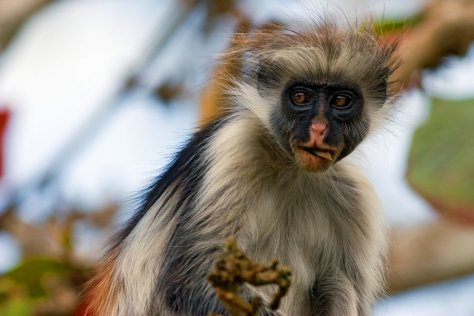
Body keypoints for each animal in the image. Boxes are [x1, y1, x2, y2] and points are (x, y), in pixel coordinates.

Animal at [84, 15, 396, 316]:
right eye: (301, 97)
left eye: (341, 101)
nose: (318, 129)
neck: (292, 169)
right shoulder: (234, 146)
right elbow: (189, 280)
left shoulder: (357, 197)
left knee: (337, 282)